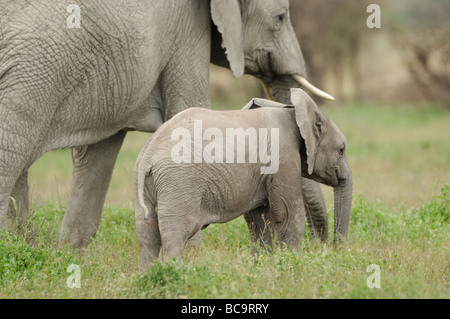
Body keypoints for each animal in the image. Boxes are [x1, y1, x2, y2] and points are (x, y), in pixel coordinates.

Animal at [0, 0, 332, 248]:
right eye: (280, 17)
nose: (326, 246)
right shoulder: (187, 32)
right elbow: (188, 107)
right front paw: (195, 259)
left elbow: (99, 152)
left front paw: (68, 253)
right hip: (31, 75)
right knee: (13, 151)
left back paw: (23, 248)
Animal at [134, 89, 352, 268]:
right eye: (341, 150)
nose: (334, 251)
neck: (292, 111)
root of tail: (149, 155)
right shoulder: (283, 158)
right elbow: (288, 214)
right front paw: (293, 264)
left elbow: (259, 220)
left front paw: (262, 265)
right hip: (179, 184)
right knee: (175, 236)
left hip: (144, 185)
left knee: (148, 238)